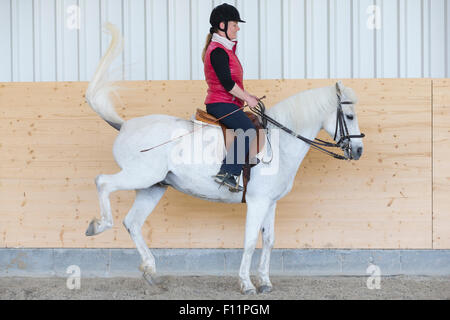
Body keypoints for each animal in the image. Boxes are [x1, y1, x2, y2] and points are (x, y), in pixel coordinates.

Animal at [85, 23, 366, 294]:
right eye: (349, 116)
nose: (359, 150)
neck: (279, 142)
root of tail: (124, 126)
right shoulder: (257, 201)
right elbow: (251, 241)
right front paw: (247, 284)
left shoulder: (271, 202)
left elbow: (269, 240)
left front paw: (265, 282)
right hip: (140, 176)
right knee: (102, 182)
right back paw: (98, 225)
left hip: (153, 187)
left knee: (132, 222)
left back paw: (152, 274)